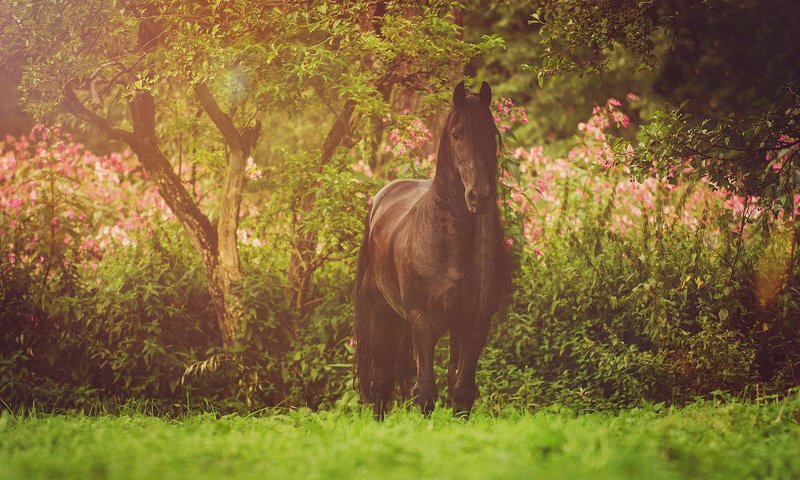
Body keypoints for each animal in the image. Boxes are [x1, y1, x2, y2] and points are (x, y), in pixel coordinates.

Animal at [354, 80, 506, 418]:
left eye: (491, 133)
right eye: (456, 134)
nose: (479, 196)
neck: (451, 241)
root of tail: (381, 198)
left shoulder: (475, 324)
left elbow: (461, 391)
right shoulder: (423, 323)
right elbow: (425, 393)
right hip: (383, 318)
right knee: (380, 384)